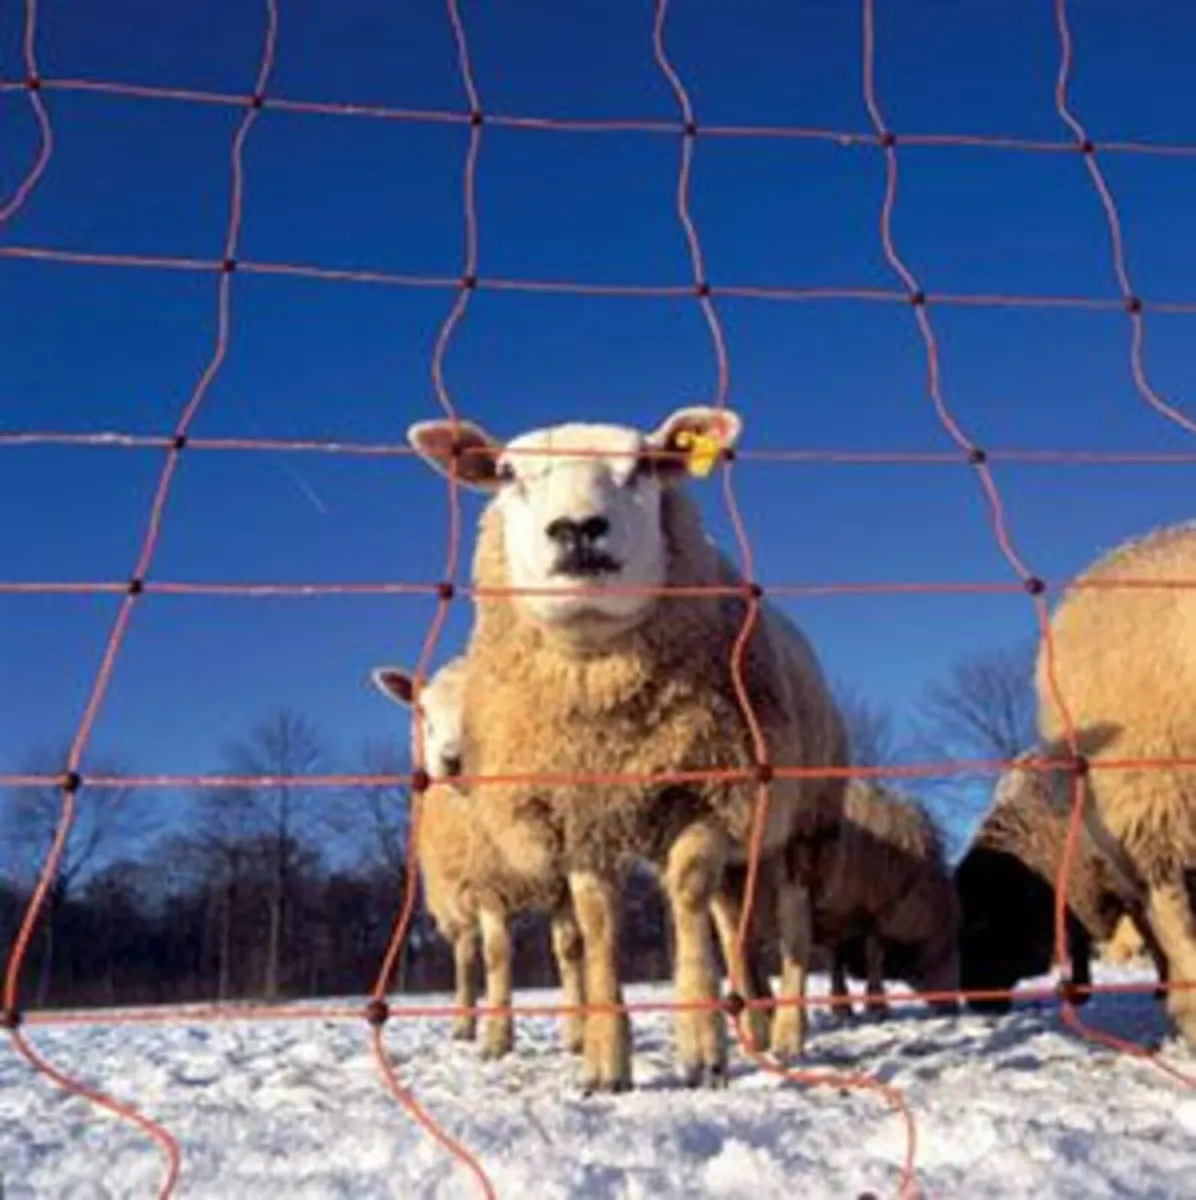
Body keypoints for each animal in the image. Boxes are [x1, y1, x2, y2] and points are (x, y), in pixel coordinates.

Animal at [370, 657, 587, 1058]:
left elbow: (570, 949)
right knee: (466, 958)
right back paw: (464, 1025)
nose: (452, 760)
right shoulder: (486, 885)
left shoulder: (563, 875)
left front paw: (579, 1034)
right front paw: (498, 1039)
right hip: (456, 899)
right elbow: (497, 955)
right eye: (423, 711)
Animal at [404, 404, 849, 1092]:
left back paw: (786, 1033)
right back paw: (752, 1015)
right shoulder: (579, 819)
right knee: (734, 923)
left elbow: (686, 895)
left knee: (792, 930)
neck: (607, 727)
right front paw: (604, 1060)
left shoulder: (710, 790)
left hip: (801, 826)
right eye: (506, 472)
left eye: (644, 466)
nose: (577, 529)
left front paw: (701, 1047)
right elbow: (592, 928)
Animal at [954, 750, 1169, 1015]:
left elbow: (1152, 936)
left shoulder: (1126, 887)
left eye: (979, 933)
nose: (977, 1003)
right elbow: (1079, 943)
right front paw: (1076, 990)